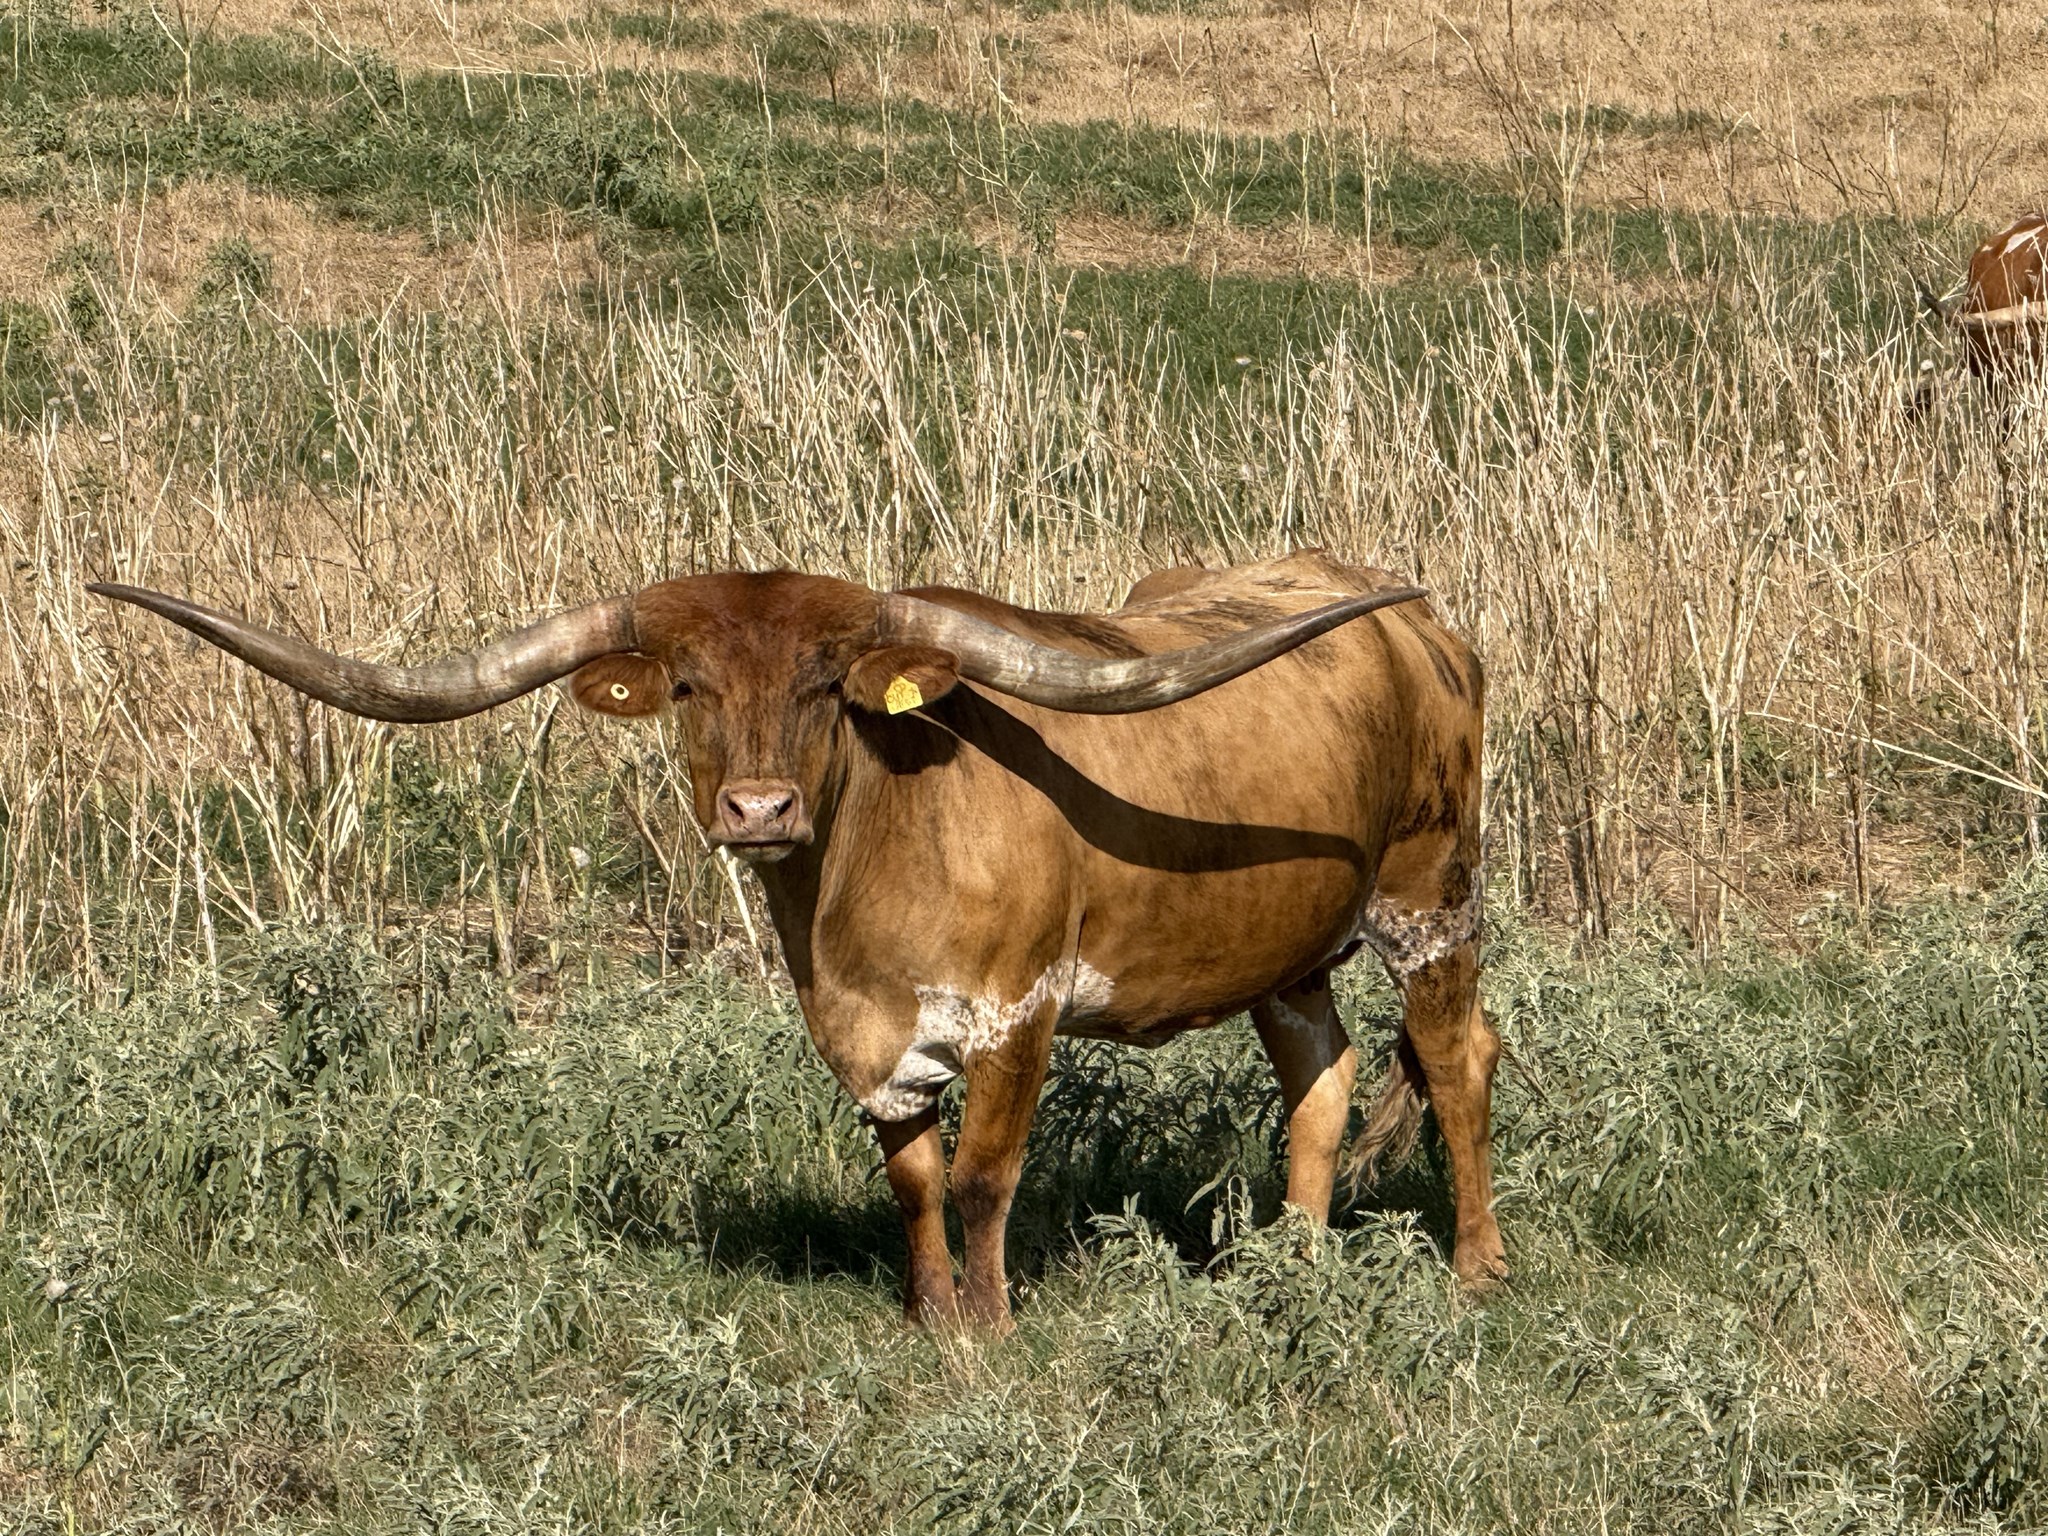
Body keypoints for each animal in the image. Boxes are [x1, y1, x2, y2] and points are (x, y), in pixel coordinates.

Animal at [89, 550, 1504, 1330]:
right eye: (687, 683)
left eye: (829, 681)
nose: (758, 811)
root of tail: (1412, 620)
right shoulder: (866, 1041)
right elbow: (915, 1182)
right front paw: (933, 1319)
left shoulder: (1018, 1012)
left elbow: (983, 1178)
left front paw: (991, 1330)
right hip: (1292, 945)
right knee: (1318, 1079)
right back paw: (1289, 1267)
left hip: (1429, 896)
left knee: (1456, 1059)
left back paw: (1473, 1273)